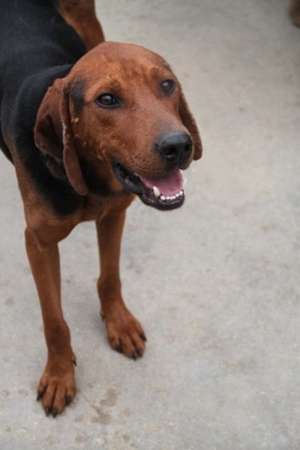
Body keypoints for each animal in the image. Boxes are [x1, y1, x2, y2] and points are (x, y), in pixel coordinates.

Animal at [0, 0, 203, 418]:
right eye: (107, 100)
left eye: (167, 85)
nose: (179, 145)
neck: (89, 183)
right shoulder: (38, 243)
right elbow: (54, 320)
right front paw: (60, 374)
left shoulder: (114, 215)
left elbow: (110, 278)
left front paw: (119, 324)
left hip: (88, 21)